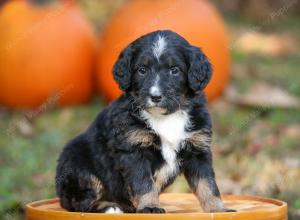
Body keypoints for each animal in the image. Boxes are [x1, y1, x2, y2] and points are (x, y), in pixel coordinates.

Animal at [56, 29, 234, 213]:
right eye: (142, 70)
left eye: (174, 70)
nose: (155, 97)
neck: (166, 117)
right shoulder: (134, 150)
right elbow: (144, 183)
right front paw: (150, 206)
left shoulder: (198, 149)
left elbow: (207, 184)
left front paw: (218, 209)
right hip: (79, 165)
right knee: (80, 202)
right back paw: (110, 207)